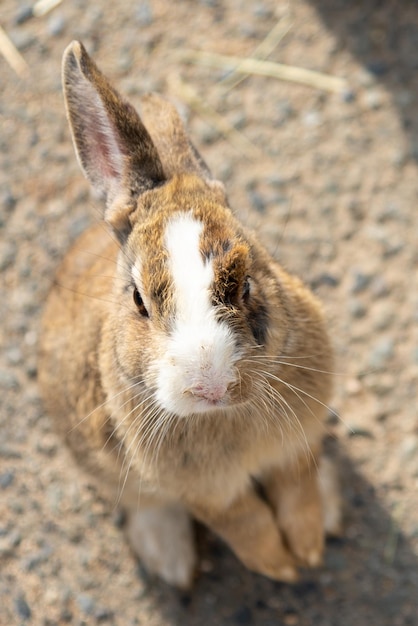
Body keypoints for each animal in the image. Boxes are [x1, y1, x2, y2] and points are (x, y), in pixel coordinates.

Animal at [37, 40, 342, 588]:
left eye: (247, 283)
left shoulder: (297, 444)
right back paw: (171, 560)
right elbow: (244, 523)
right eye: (139, 302)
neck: (223, 415)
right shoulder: (205, 493)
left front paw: (307, 549)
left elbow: (297, 490)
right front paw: (280, 566)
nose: (211, 385)